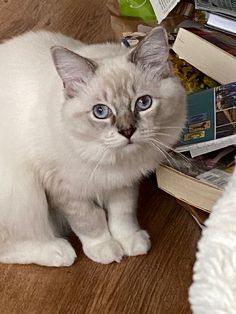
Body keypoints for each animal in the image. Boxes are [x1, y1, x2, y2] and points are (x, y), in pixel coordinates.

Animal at [0, 28, 185, 266]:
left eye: (144, 103)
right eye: (100, 112)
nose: (127, 132)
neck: (111, 159)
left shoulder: (124, 182)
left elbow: (122, 214)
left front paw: (129, 241)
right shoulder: (65, 188)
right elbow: (89, 221)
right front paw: (104, 248)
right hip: (23, 191)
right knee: (11, 246)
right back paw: (59, 252)